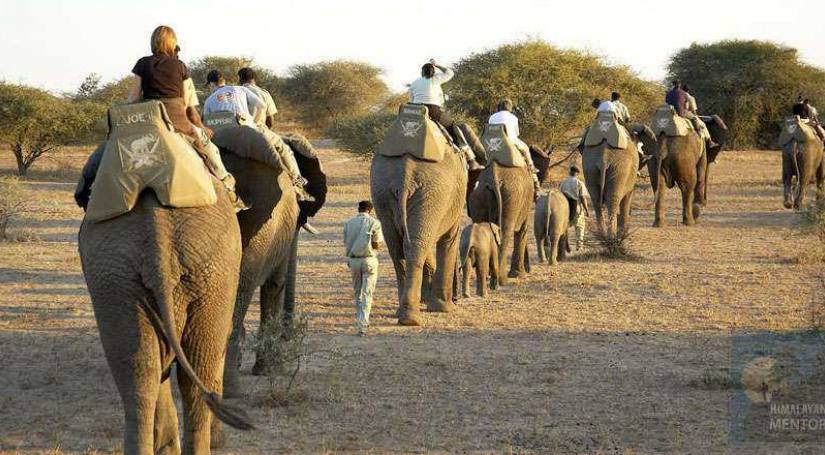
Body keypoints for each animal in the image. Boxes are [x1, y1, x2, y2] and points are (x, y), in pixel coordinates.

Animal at [372, 151, 466, 328]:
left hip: (383, 192)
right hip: (433, 195)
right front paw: (444, 309)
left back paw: (404, 314)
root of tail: (404, 179)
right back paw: (411, 318)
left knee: (399, 248)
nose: (458, 299)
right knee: (414, 247)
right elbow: (449, 239)